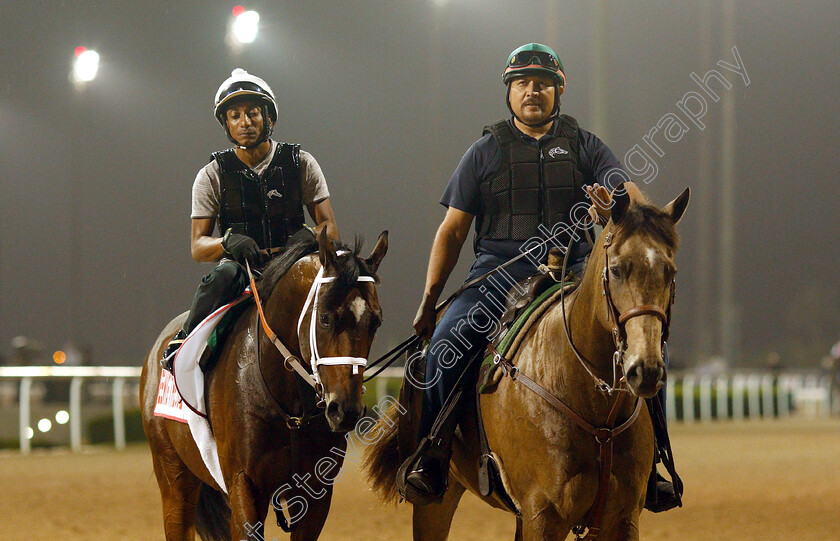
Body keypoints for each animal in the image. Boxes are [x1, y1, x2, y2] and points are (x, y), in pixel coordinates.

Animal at [140, 230, 388, 536]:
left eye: (376, 322)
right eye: (325, 318)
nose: (346, 410)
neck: (290, 408)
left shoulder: (316, 491)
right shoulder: (244, 483)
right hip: (174, 477)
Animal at [366, 187, 688, 540]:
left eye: (670, 272)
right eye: (616, 269)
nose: (645, 369)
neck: (596, 409)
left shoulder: (622, 518)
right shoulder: (544, 515)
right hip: (435, 502)